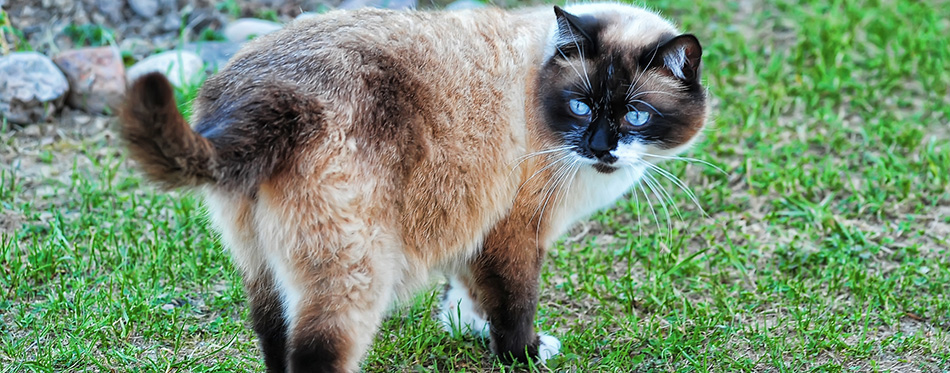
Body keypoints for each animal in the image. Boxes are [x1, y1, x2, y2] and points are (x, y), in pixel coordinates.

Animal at [119, 2, 708, 370]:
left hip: (266, 270)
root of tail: (264, 96)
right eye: (582, 106)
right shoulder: (516, 231)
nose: (602, 147)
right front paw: (524, 356)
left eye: (635, 115)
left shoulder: (475, 225)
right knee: (316, 354)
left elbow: (469, 295)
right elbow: (514, 307)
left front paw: (464, 328)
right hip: (355, 271)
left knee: (273, 342)